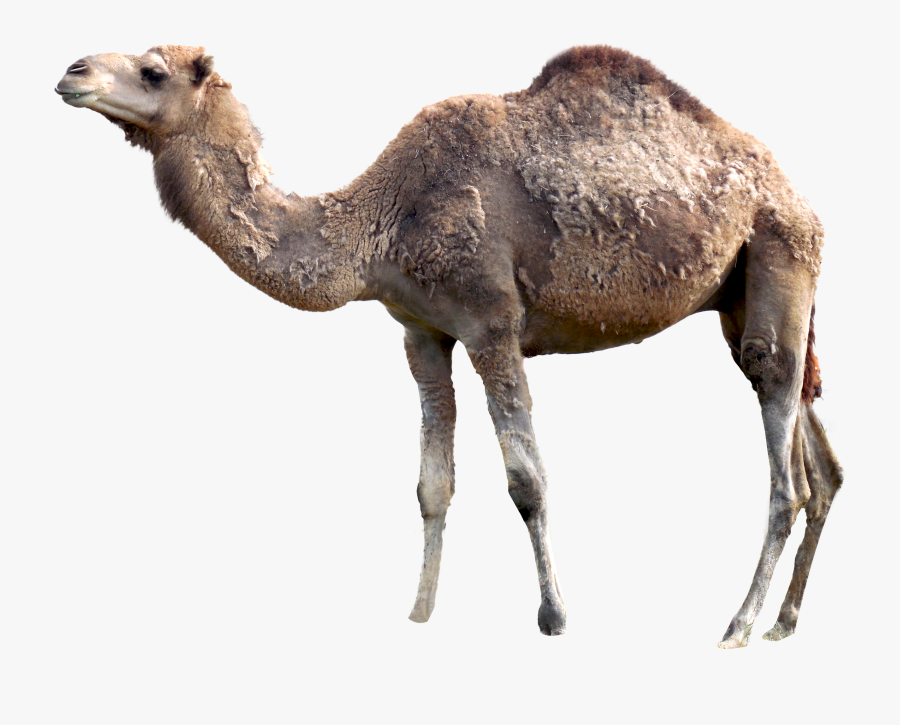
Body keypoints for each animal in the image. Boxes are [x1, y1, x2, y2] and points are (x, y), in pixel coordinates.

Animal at [55, 44, 843, 646]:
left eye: (153, 71)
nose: (72, 71)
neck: (380, 221)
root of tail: (795, 194)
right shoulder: (421, 332)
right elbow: (431, 484)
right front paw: (419, 613)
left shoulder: (492, 323)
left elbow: (527, 480)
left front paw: (554, 616)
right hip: (744, 295)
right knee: (818, 454)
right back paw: (784, 622)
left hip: (778, 251)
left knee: (787, 468)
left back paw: (737, 626)